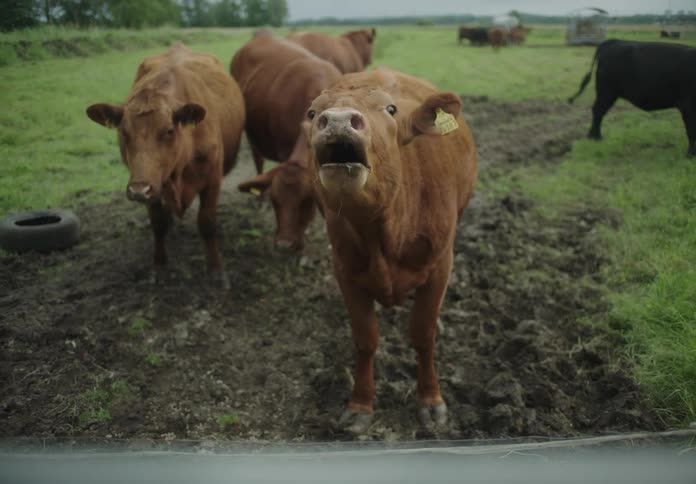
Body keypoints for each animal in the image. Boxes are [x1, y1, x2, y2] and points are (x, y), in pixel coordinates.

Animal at [86, 43, 245, 283]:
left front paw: (216, 269)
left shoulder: (213, 179)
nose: (138, 190)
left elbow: (207, 222)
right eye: (123, 132)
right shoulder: (152, 184)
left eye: (169, 130)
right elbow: (158, 224)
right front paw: (159, 266)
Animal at [305, 66, 477, 432]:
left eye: (391, 109)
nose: (338, 120)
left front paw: (430, 399)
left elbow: (423, 334)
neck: (381, 232)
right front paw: (360, 404)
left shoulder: (440, 265)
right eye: (312, 113)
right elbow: (365, 338)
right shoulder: (345, 270)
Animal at [568, 39, 696, 157]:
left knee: (598, 111)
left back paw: (593, 136)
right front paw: (691, 155)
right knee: (598, 111)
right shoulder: (688, 106)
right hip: (607, 92)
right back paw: (596, 137)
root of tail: (615, 41)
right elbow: (691, 130)